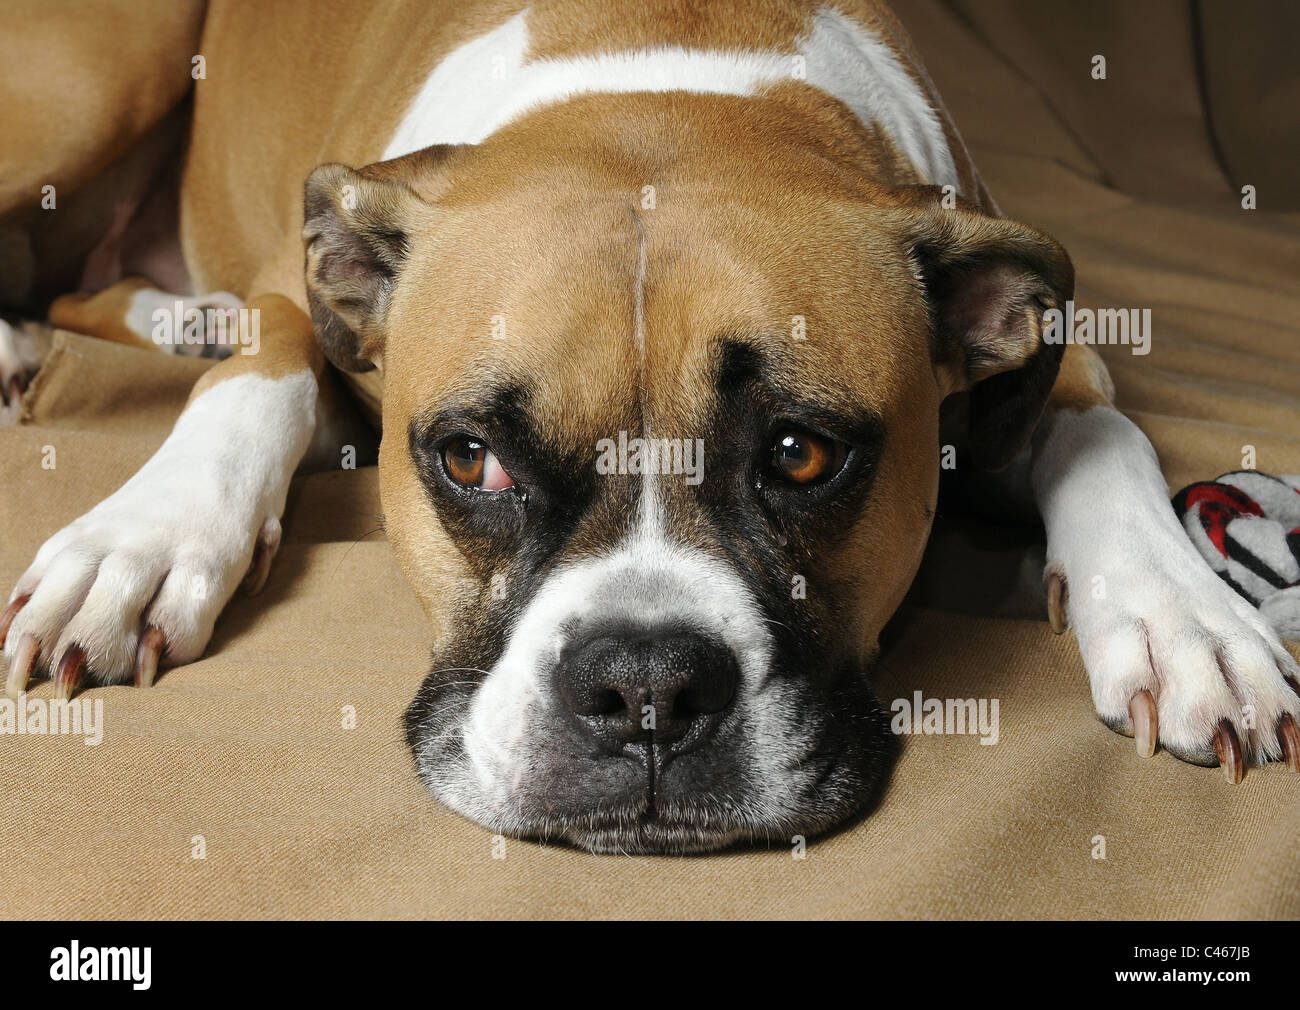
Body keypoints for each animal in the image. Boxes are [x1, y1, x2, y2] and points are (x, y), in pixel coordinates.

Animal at [0, 0, 1294, 852]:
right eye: (470, 458)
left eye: (801, 454)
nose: (648, 687)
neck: (661, 64)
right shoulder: (296, 286)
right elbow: (261, 369)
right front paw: (140, 542)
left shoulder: (1053, 343)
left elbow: (1106, 435)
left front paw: (1183, 615)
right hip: (106, 74)